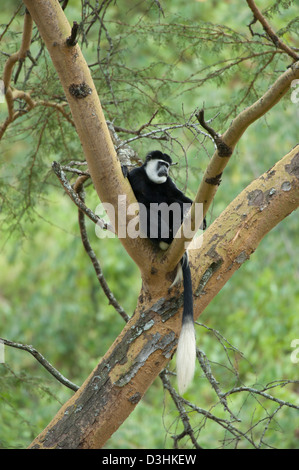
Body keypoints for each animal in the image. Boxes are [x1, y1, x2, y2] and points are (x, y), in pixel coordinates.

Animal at [123, 151, 206, 392]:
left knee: (174, 204)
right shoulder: (137, 176)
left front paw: (202, 218)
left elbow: (180, 198)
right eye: (162, 164)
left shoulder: (168, 184)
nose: (165, 170)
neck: (152, 181)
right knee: (146, 210)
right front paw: (122, 168)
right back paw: (166, 237)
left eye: (168, 167)